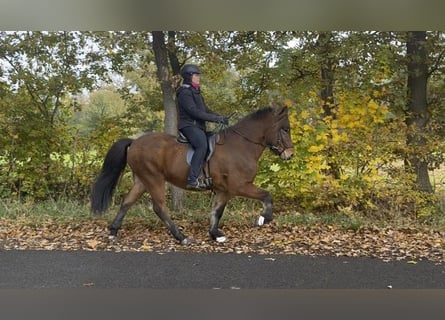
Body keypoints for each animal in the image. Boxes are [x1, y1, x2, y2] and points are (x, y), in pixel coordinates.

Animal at [89, 106, 294, 244]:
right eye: (285, 129)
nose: (290, 154)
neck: (241, 145)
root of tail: (135, 141)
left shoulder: (224, 190)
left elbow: (217, 211)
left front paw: (215, 234)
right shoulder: (239, 186)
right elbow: (266, 195)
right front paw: (263, 218)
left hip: (142, 180)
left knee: (127, 202)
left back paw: (113, 232)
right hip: (153, 179)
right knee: (159, 207)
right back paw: (181, 237)